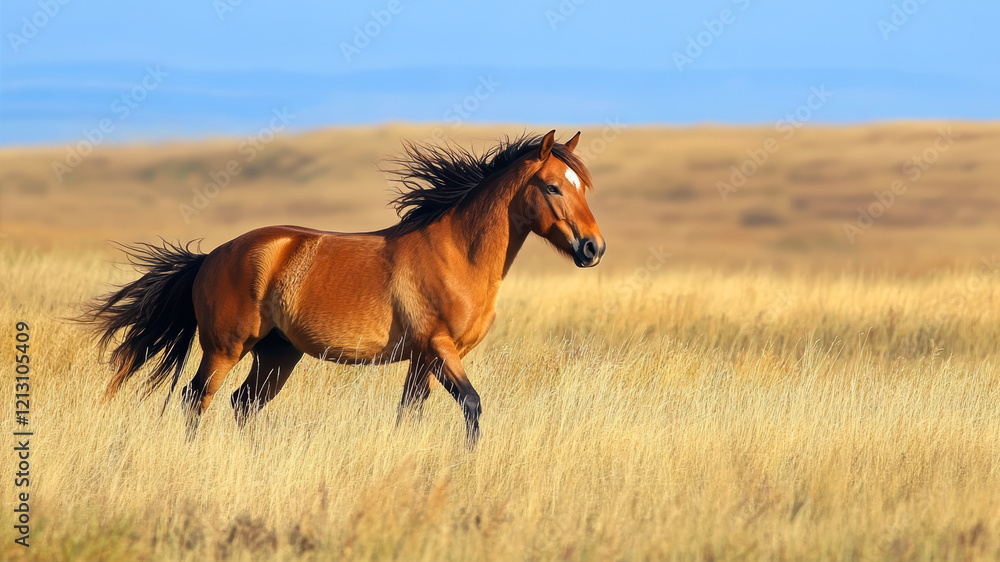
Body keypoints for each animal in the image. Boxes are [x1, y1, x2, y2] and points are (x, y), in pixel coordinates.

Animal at [78, 130, 605, 446]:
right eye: (553, 187)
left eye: (584, 187)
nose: (593, 248)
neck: (457, 253)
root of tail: (211, 257)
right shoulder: (439, 347)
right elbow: (473, 405)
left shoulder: (425, 358)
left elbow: (409, 413)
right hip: (225, 348)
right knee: (196, 399)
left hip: (277, 354)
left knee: (242, 404)